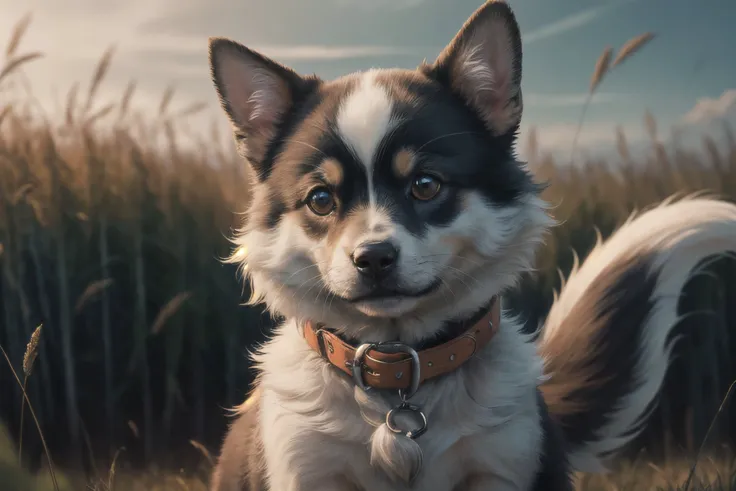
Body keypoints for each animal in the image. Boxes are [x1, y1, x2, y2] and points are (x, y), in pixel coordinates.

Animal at [204, 1, 736, 490]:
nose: (372, 258)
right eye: (319, 199)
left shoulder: (504, 461)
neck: (399, 379)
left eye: (425, 185)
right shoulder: (306, 467)